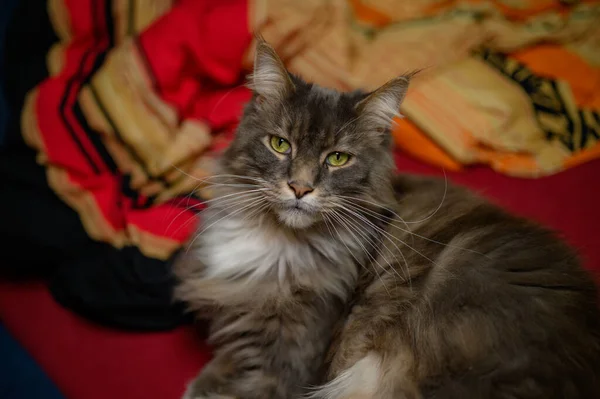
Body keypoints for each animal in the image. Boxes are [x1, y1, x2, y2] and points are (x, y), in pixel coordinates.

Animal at [173, 38, 600, 399]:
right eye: (280, 145)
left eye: (337, 158)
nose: (300, 188)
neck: (278, 240)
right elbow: (217, 368)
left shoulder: (289, 361)